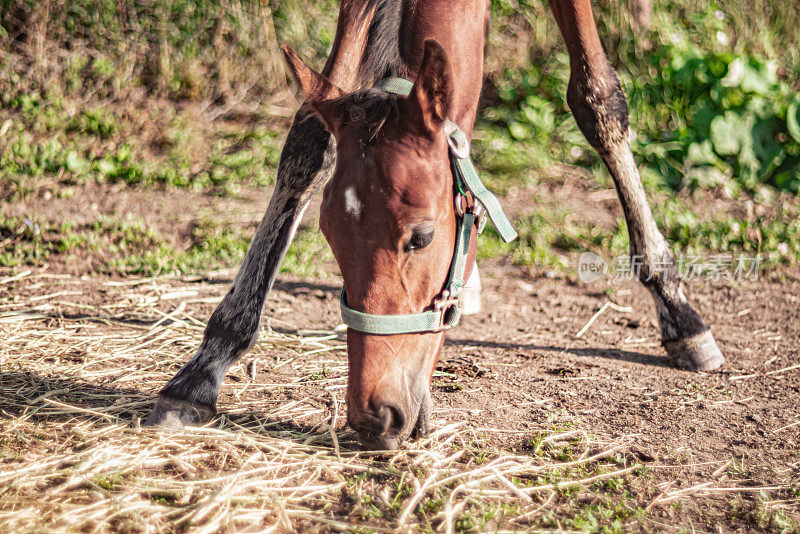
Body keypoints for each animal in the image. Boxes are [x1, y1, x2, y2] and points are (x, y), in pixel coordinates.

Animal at [145, 0, 724, 452]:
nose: (372, 416)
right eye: (329, 237)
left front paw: (676, 305)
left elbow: (597, 98)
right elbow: (307, 141)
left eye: (421, 237)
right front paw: (206, 364)